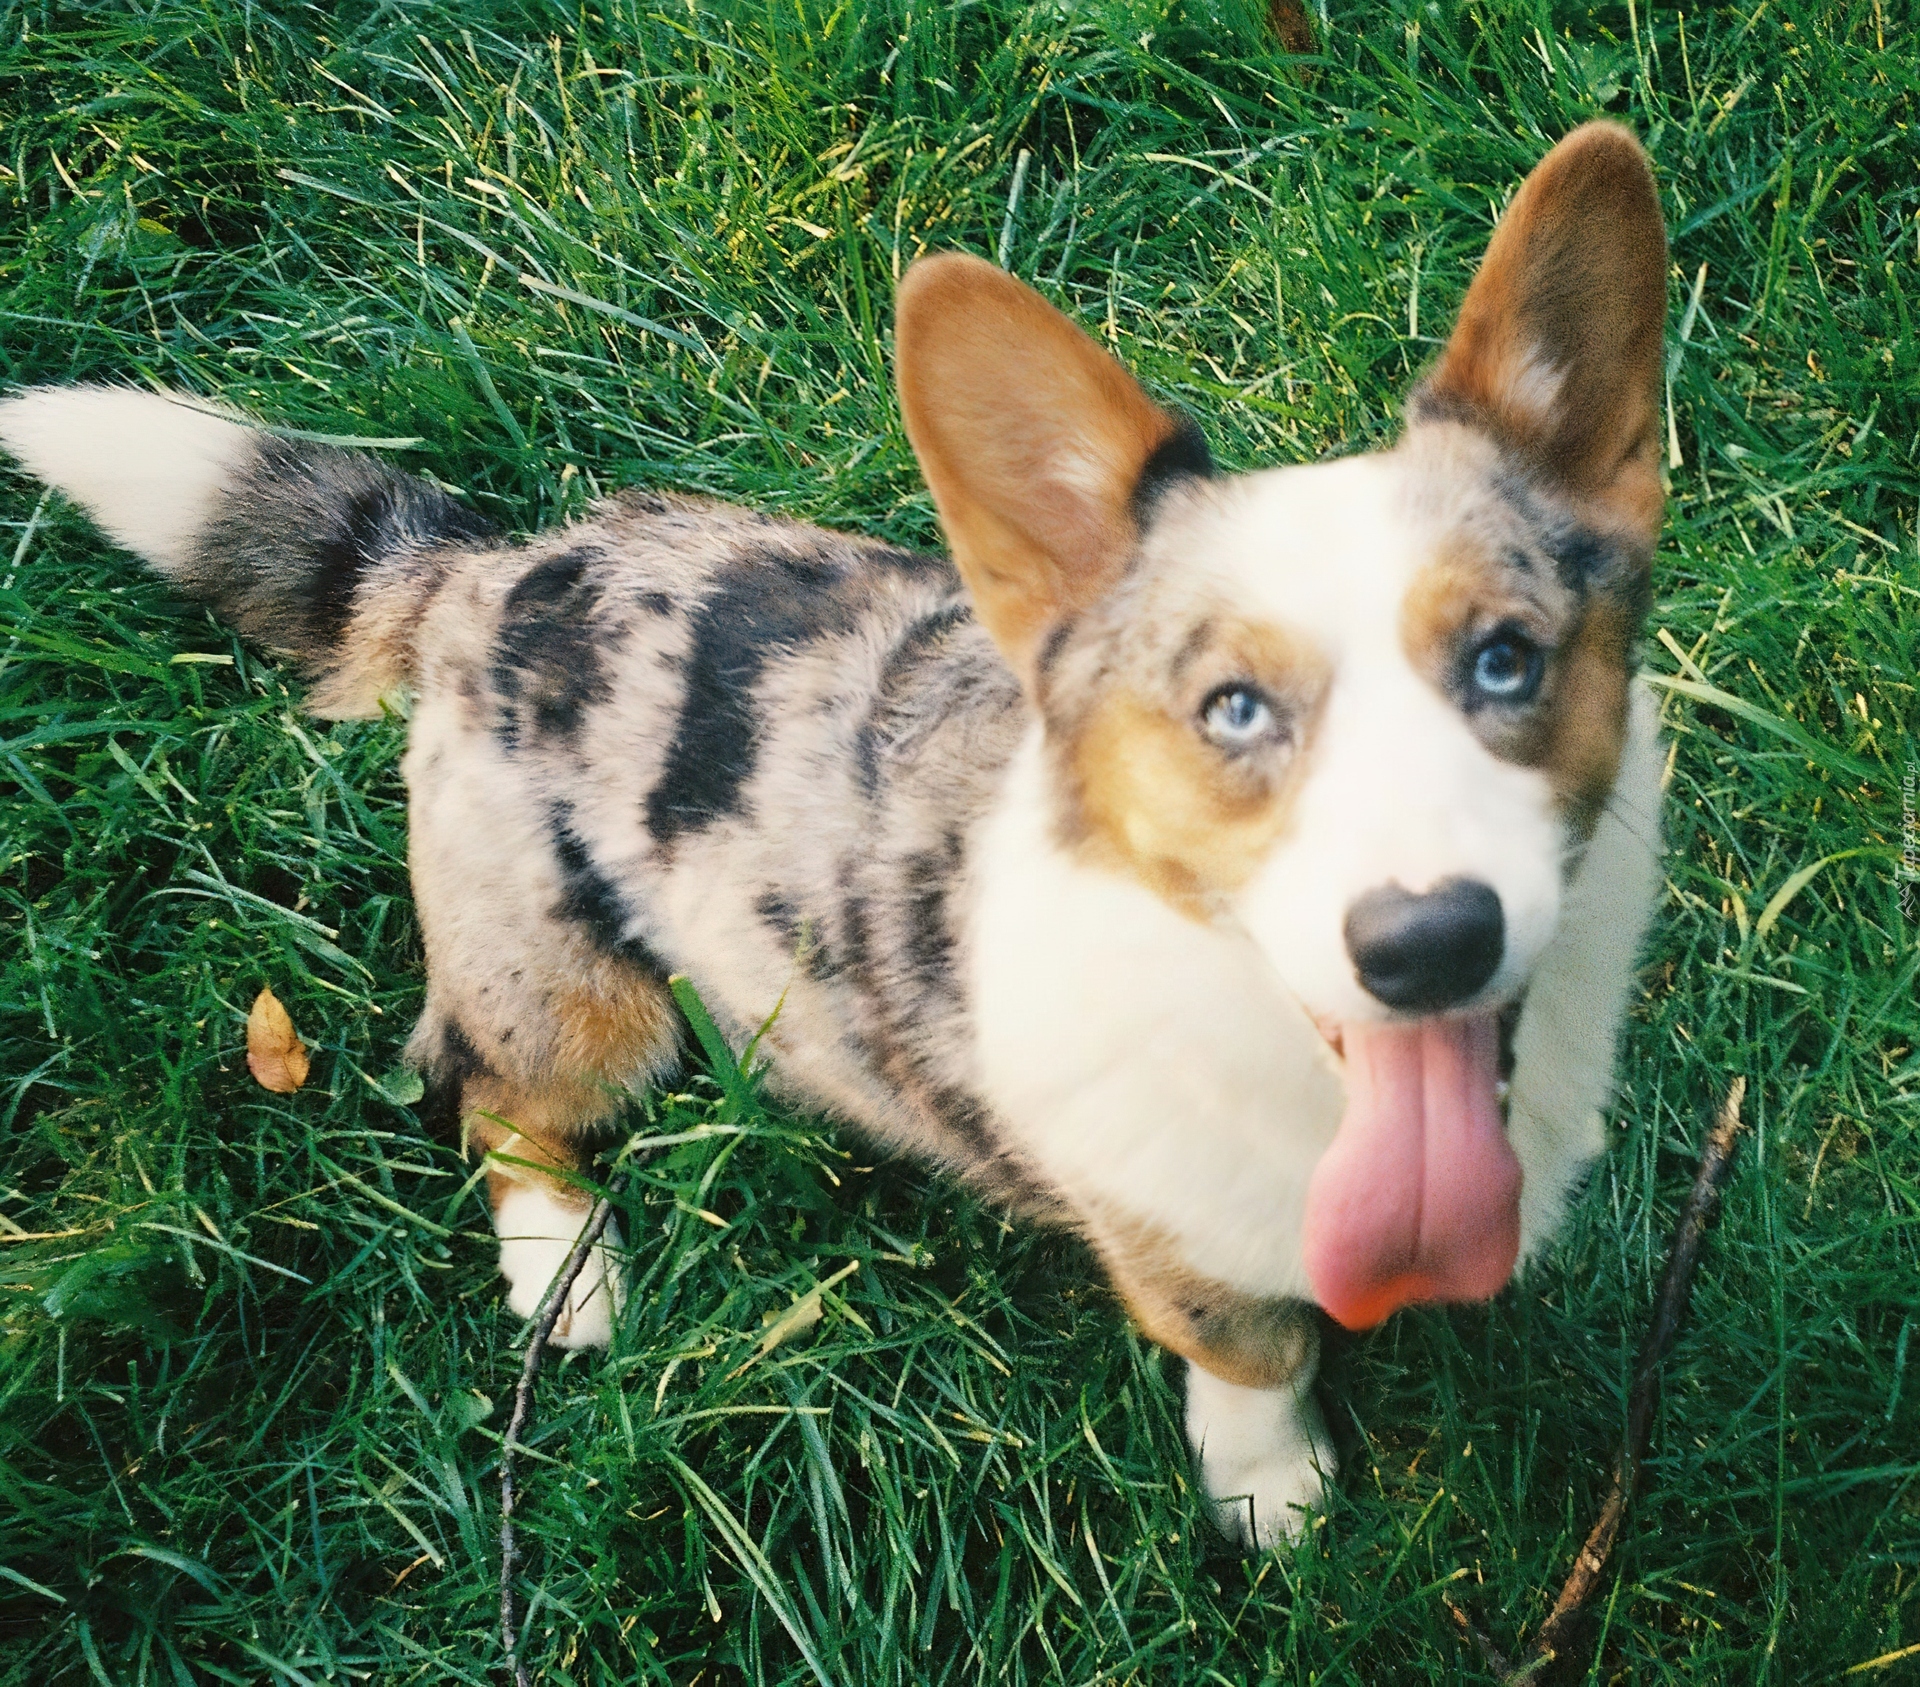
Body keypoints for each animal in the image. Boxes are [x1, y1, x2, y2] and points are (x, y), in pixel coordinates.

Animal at [0, 118, 1666, 1550]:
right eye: (1232, 707)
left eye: (1506, 658)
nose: (1428, 941)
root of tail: (487, 572)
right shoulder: (1177, 1251)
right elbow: (1252, 1359)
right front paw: (1278, 1499)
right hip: (574, 1001)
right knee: (489, 1098)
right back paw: (566, 1274)